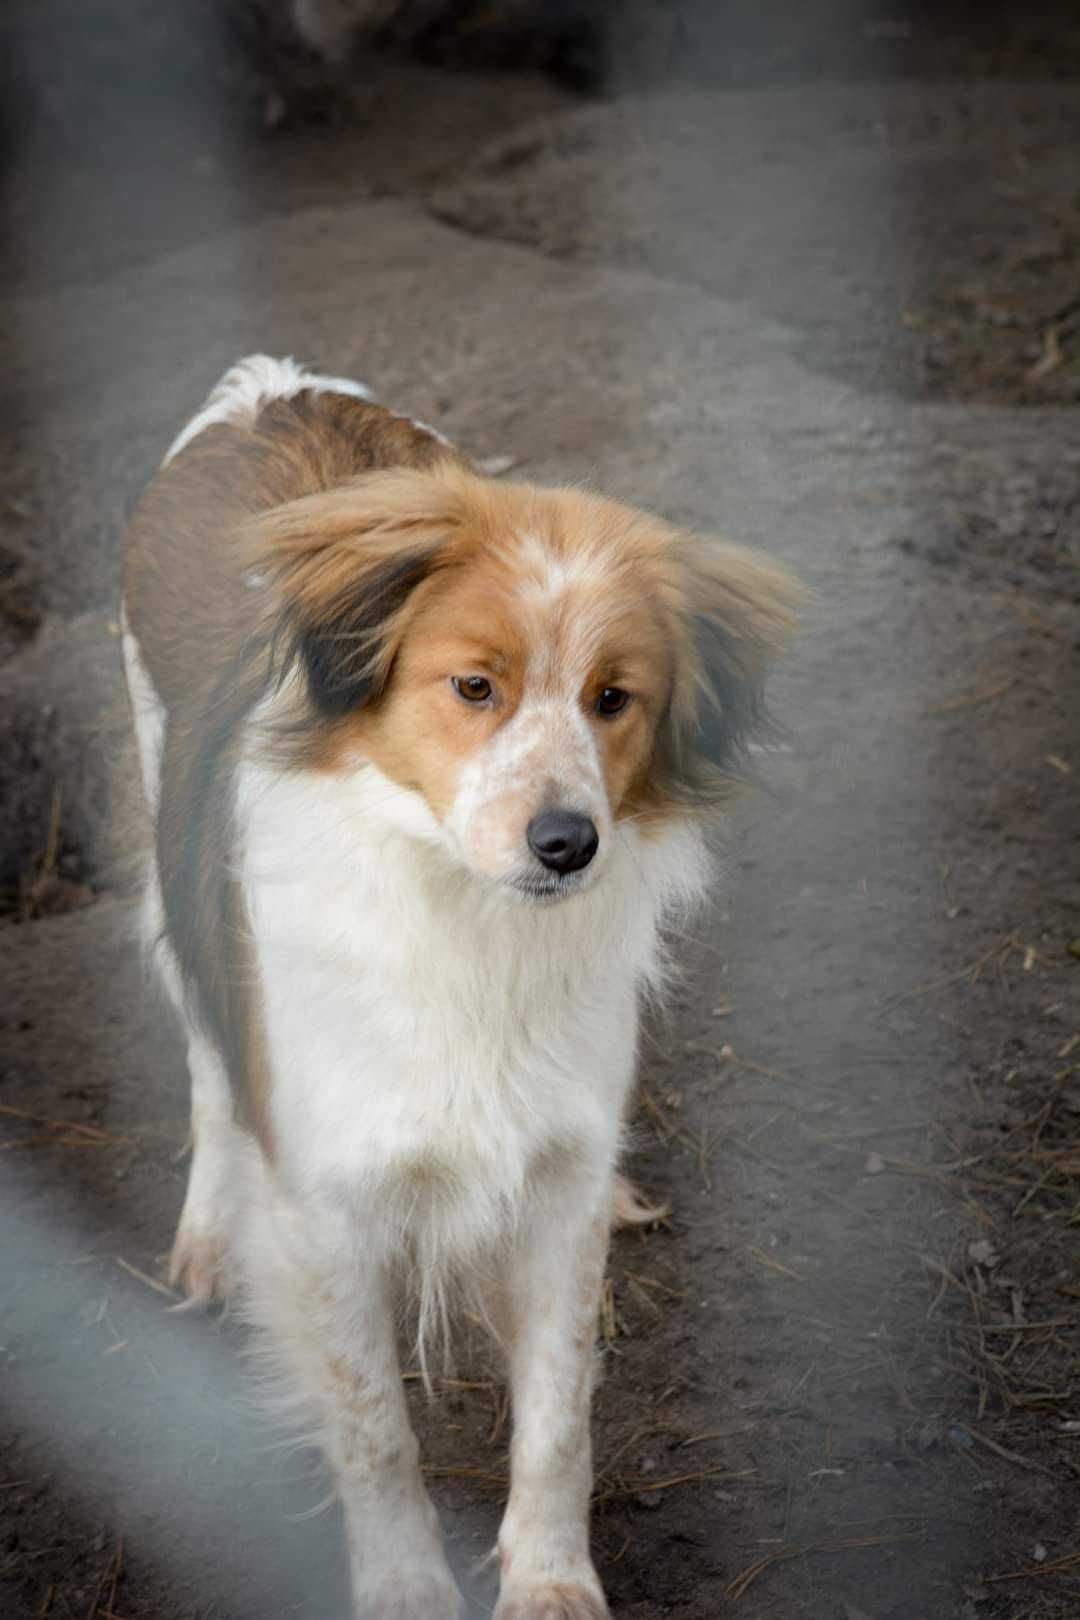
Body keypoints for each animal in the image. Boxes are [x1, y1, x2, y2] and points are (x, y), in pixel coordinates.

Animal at [122, 358, 799, 1620]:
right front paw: (405, 1592)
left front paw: (551, 1583)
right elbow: (375, 1433)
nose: (567, 845)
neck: (467, 920)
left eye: (613, 698)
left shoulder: (558, 1180)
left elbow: (560, 1415)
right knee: (204, 1059)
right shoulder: (330, 1209)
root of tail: (273, 387)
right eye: (474, 686)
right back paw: (207, 1232)